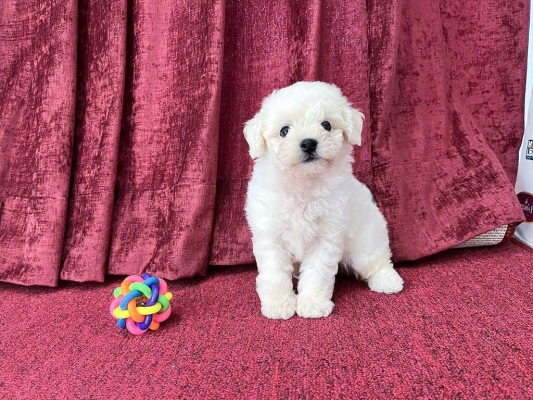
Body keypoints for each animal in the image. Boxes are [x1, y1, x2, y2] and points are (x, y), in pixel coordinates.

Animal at [243, 80, 402, 318]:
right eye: (284, 131)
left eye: (326, 125)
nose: (309, 143)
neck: (304, 182)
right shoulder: (270, 233)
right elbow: (274, 273)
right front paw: (279, 305)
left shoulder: (327, 235)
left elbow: (317, 272)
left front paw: (312, 304)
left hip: (364, 243)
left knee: (377, 260)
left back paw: (387, 280)